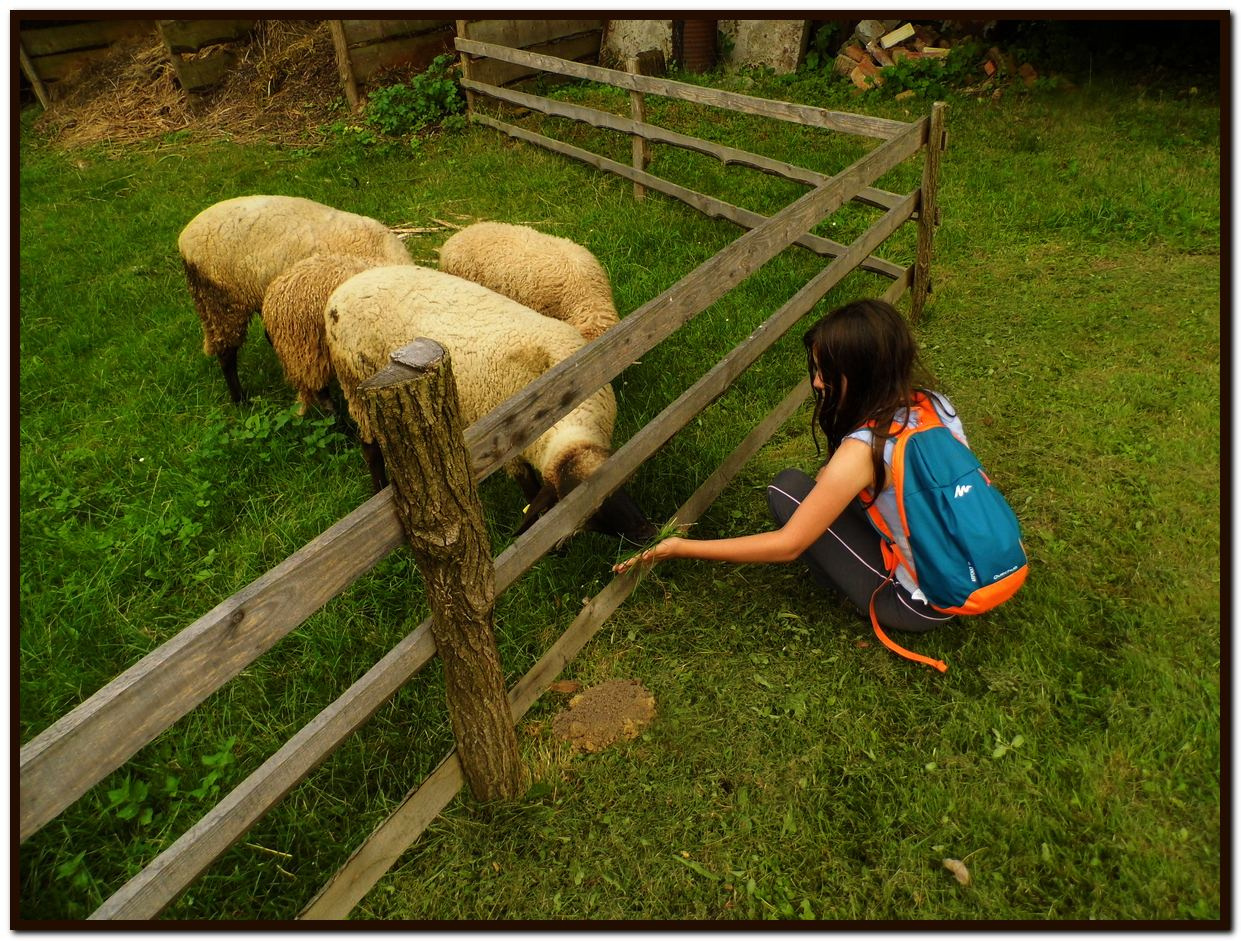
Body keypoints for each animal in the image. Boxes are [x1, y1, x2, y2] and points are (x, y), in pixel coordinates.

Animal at [322, 265, 660, 546]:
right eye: (591, 515)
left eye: (621, 481)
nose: (648, 533)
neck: (560, 411)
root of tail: (345, 287)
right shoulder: (511, 453)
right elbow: (530, 491)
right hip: (355, 383)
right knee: (369, 445)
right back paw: (378, 486)